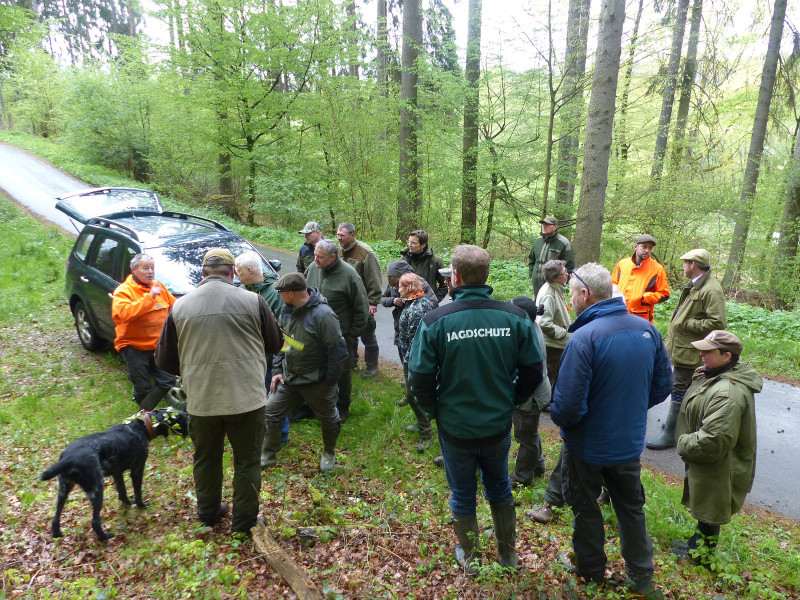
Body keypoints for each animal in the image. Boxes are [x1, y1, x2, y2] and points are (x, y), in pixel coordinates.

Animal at [40, 408, 191, 540]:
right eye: (184, 417)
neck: (141, 425)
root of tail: (67, 458)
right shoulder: (137, 469)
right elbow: (137, 493)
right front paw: (141, 505)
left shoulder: (117, 473)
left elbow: (122, 492)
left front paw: (127, 503)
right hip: (97, 489)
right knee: (95, 521)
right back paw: (104, 537)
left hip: (64, 490)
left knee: (55, 518)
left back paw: (57, 533)